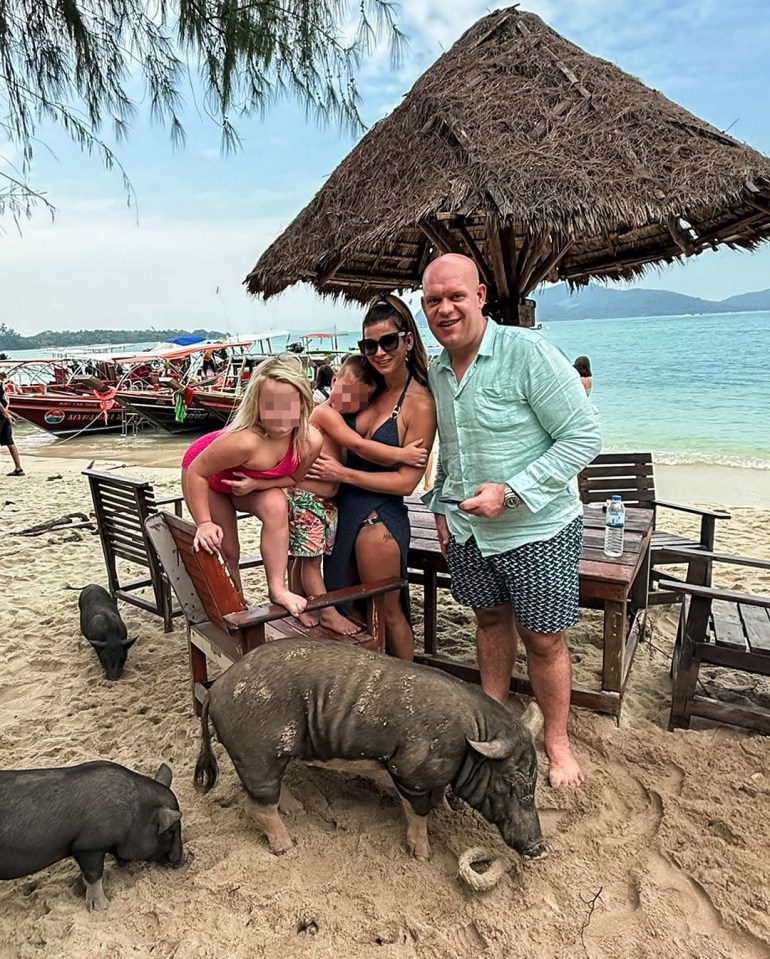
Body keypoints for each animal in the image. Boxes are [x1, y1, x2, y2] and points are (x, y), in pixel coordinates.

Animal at [0, 760, 186, 912]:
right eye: (171, 830)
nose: (185, 858)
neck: (133, 813)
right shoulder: (88, 847)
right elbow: (94, 875)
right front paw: (101, 907)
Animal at [195, 640, 544, 860]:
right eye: (509, 784)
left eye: (535, 782)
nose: (539, 849)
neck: (468, 738)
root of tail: (217, 688)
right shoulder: (410, 771)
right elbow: (418, 812)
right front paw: (422, 856)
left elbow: (439, 793)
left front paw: (447, 810)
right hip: (256, 755)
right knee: (257, 806)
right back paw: (288, 846)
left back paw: (298, 810)